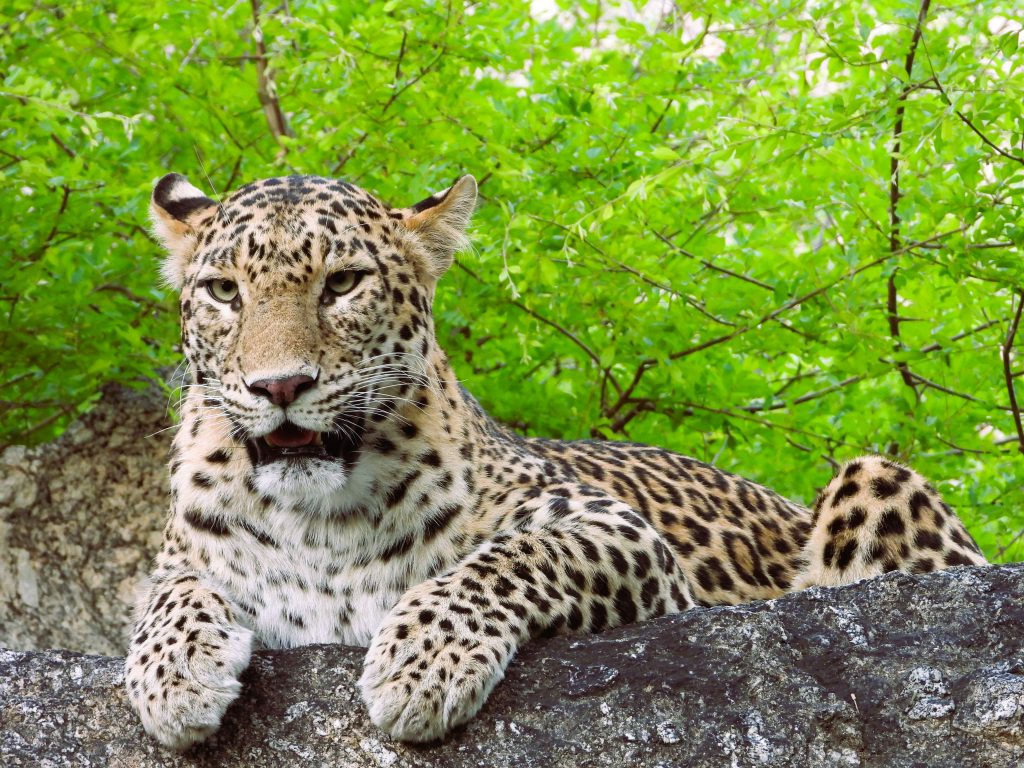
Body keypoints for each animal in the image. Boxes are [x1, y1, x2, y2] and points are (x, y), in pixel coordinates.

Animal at [126, 170, 988, 750]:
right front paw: (175, 678)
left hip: (875, 475)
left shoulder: (617, 532)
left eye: (342, 283)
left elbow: (503, 561)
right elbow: (166, 595)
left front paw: (422, 664)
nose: (279, 386)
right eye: (224, 292)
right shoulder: (182, 559)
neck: (319, 520)